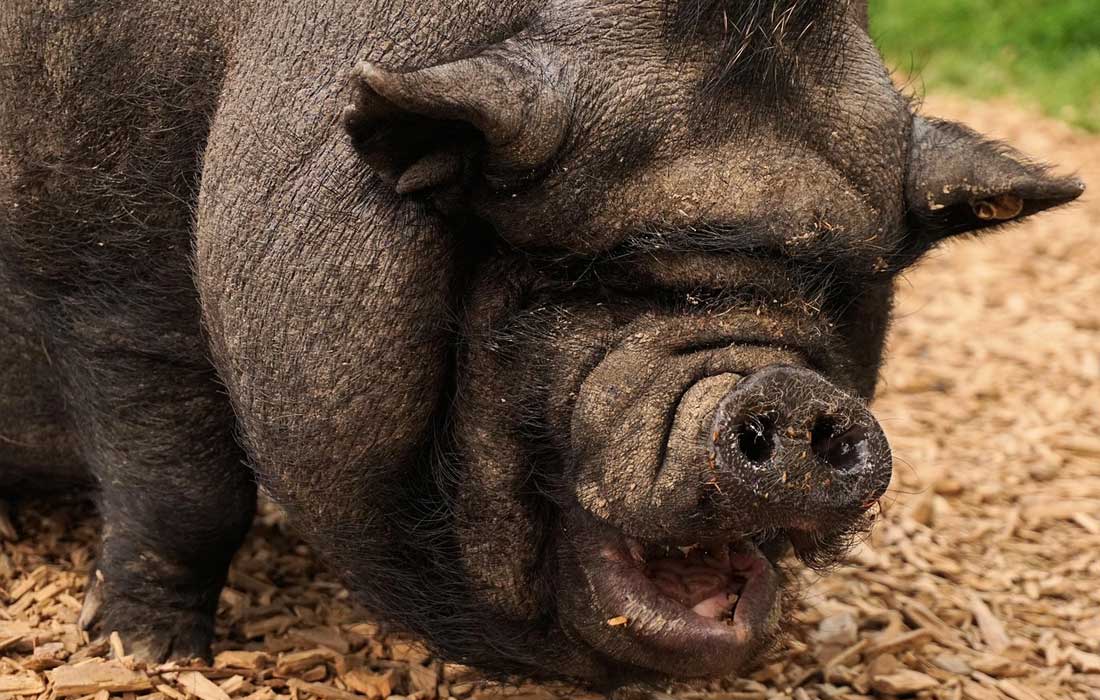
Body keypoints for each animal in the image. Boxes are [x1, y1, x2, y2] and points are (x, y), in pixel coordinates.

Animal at [0, 0, 1083, 685]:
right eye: (586, 276)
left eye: (839, 289)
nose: (781, 387)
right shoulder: (108, 290)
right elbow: (189, 493)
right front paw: (148, 655)